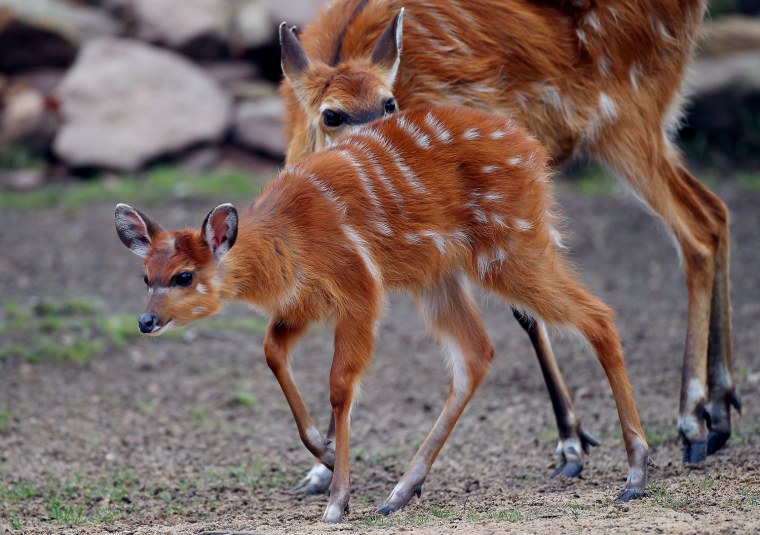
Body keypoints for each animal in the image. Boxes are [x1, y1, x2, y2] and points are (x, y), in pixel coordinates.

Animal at [116, 105, 652, 524]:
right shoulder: (305, 304)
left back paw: (635, 472)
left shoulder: (359, 290)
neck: (288, 242)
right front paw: (325, 454)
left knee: (597, 316)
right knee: (476, 352)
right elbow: (272, 351)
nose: (145, 322)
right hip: (441, 275)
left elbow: (339, 385)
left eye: (184, 276)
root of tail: (534, 152)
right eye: (145, 276)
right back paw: (400, 492)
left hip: (509, 247)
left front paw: (337, 501)